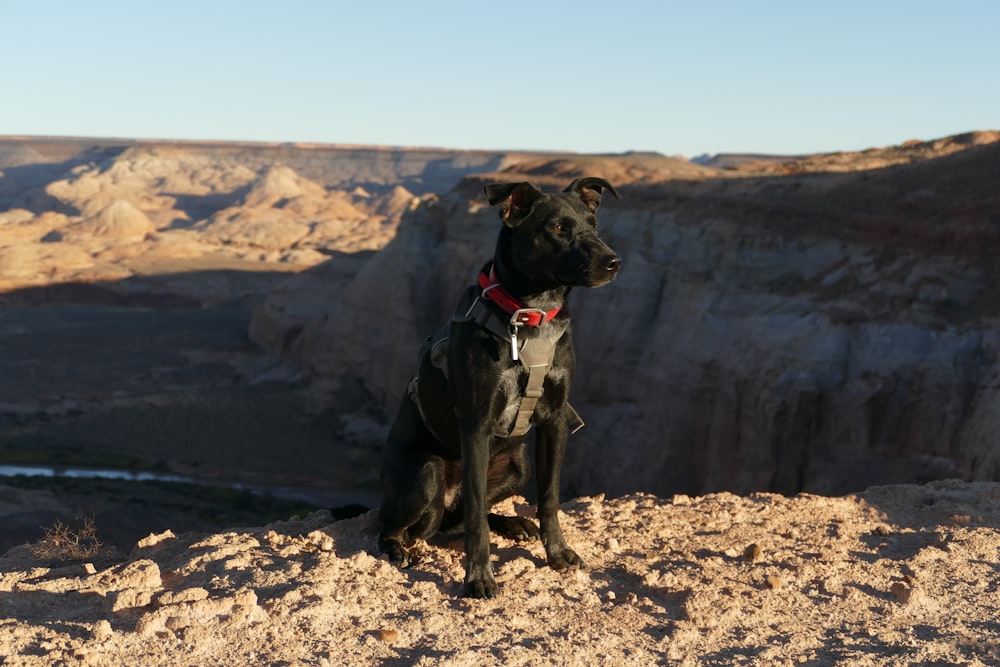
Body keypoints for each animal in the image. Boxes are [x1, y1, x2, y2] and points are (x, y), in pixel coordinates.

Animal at [378, 177, 620, 600]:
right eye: (558, 228)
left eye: (594, 224)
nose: (613, 261)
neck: (531, 316)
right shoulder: (476, 422)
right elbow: (476, 515)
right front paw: (478, 576)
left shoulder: (555, 419)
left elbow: (549, 497)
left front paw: (557, 553)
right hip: (426, 473)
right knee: (401, 525)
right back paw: (397, 549)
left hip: (517, 465)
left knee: (453, 520)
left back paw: (513, 524)